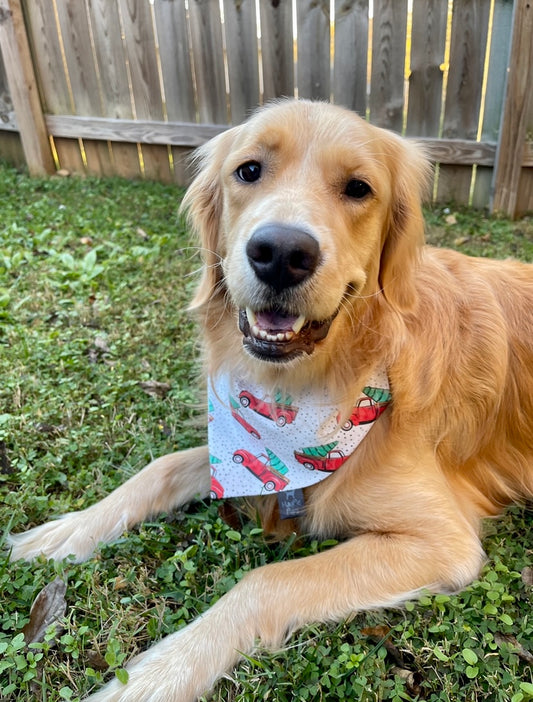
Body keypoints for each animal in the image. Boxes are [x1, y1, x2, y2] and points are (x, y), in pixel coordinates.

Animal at [8, 100, 532, 702]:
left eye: (358, 188)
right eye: (249, 170)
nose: (281, 253)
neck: (320, 383)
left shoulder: (442, 541)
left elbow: (265, 579)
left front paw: (160, 672)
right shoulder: (238, 445)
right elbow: (162, 467)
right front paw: (67, 531)